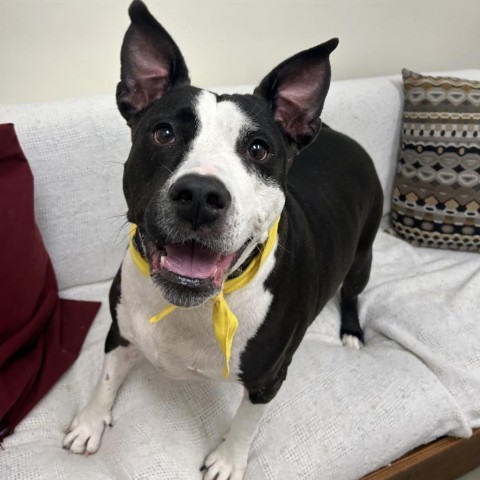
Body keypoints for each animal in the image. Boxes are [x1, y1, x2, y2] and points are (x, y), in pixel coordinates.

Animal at [62, 1, 382, 478]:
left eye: (258, 149)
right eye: (163, 132)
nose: (200, 195)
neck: (196, 305)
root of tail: (345, 138)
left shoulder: (268, 379)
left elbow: (246, 425)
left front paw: (228, 461)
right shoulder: (119, 330)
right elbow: (105, 379)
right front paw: (89, 423)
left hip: (362, 256)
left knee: (351, 293)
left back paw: (352, 332)